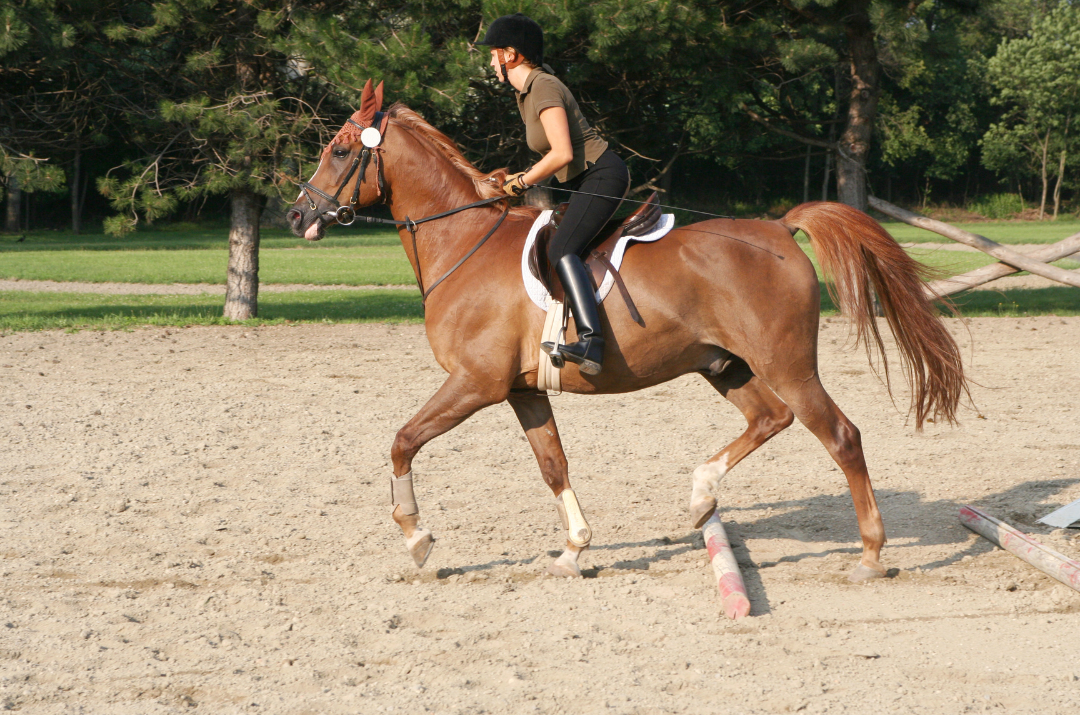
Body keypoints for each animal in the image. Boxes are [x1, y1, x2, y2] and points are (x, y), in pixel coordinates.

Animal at [287, 80, 969, 584]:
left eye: (341, 151)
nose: (296, 216)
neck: (463, 242)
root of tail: (778, 228)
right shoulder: (521, 391)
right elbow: (553, 466)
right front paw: (573, 550)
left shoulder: (475, 383)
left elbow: (403, 441)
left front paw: (418, 539)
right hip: (723, 364)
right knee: (769, 418)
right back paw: (700, 497)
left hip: (787, 365)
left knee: (840, 436)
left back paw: (871, 554)